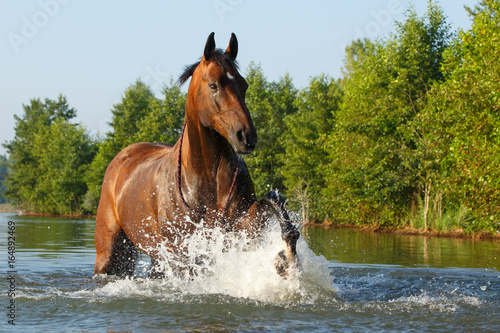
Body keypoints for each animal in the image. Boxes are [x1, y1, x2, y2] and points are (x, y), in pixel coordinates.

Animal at [94, 32, 298, 278]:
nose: (246, 137)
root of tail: (121, 158)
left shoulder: (241, 231)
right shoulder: (181, 255)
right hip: (110, 251)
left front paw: (286, 257)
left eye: (244, 84)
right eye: (213, 85)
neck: (205, 177)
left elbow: (270, 202)